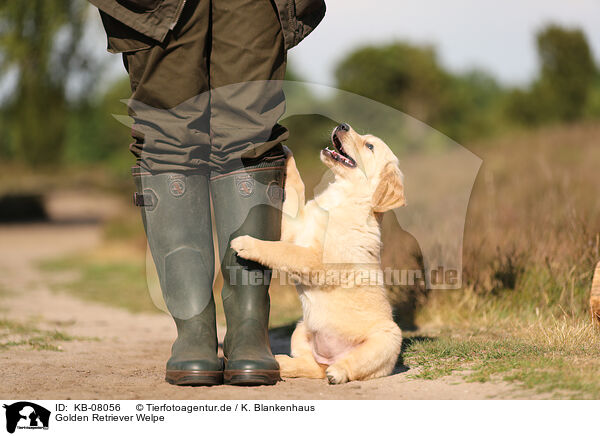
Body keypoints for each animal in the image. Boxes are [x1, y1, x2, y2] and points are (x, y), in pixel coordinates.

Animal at [232, 122, 406, 382]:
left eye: (370, 146)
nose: (343, 125)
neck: (341, 198)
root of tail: (331, 357)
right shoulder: (294, 227)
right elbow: (296, 189)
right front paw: (286, 151)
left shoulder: (318, 262)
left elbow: (283, 251)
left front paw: (248, 244)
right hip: (301, 328)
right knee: (312, 366)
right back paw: (282, 363)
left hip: (389, 338)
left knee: (353, 365)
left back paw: (338, 372)